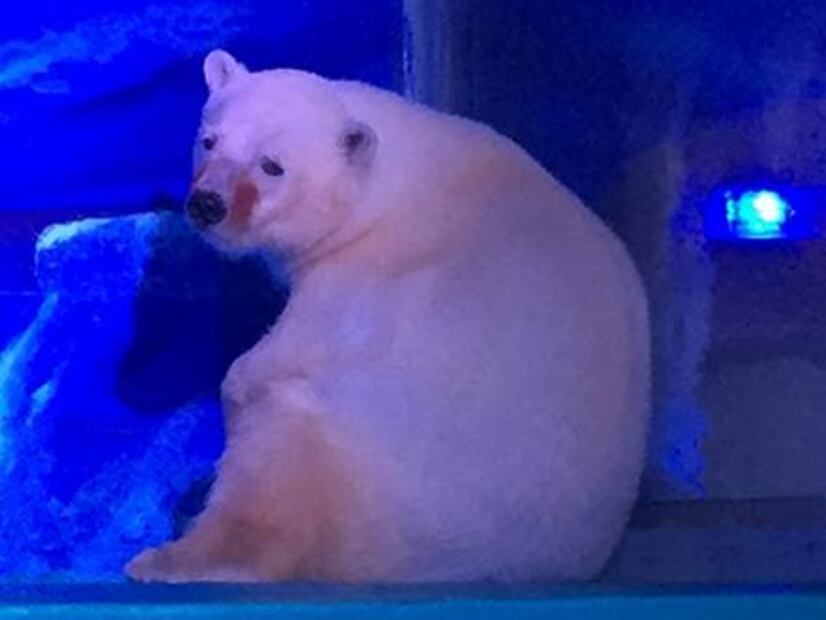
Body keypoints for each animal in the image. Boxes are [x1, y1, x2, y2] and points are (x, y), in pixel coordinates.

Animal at [125, 49, 650, 584]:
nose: (207, 204)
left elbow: (293, 348)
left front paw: (235, 385)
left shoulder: (364, 273)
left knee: (275, 465)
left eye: (272, 166)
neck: (402, 180)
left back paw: (171, 555)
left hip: (356, 461)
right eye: (209, 140)